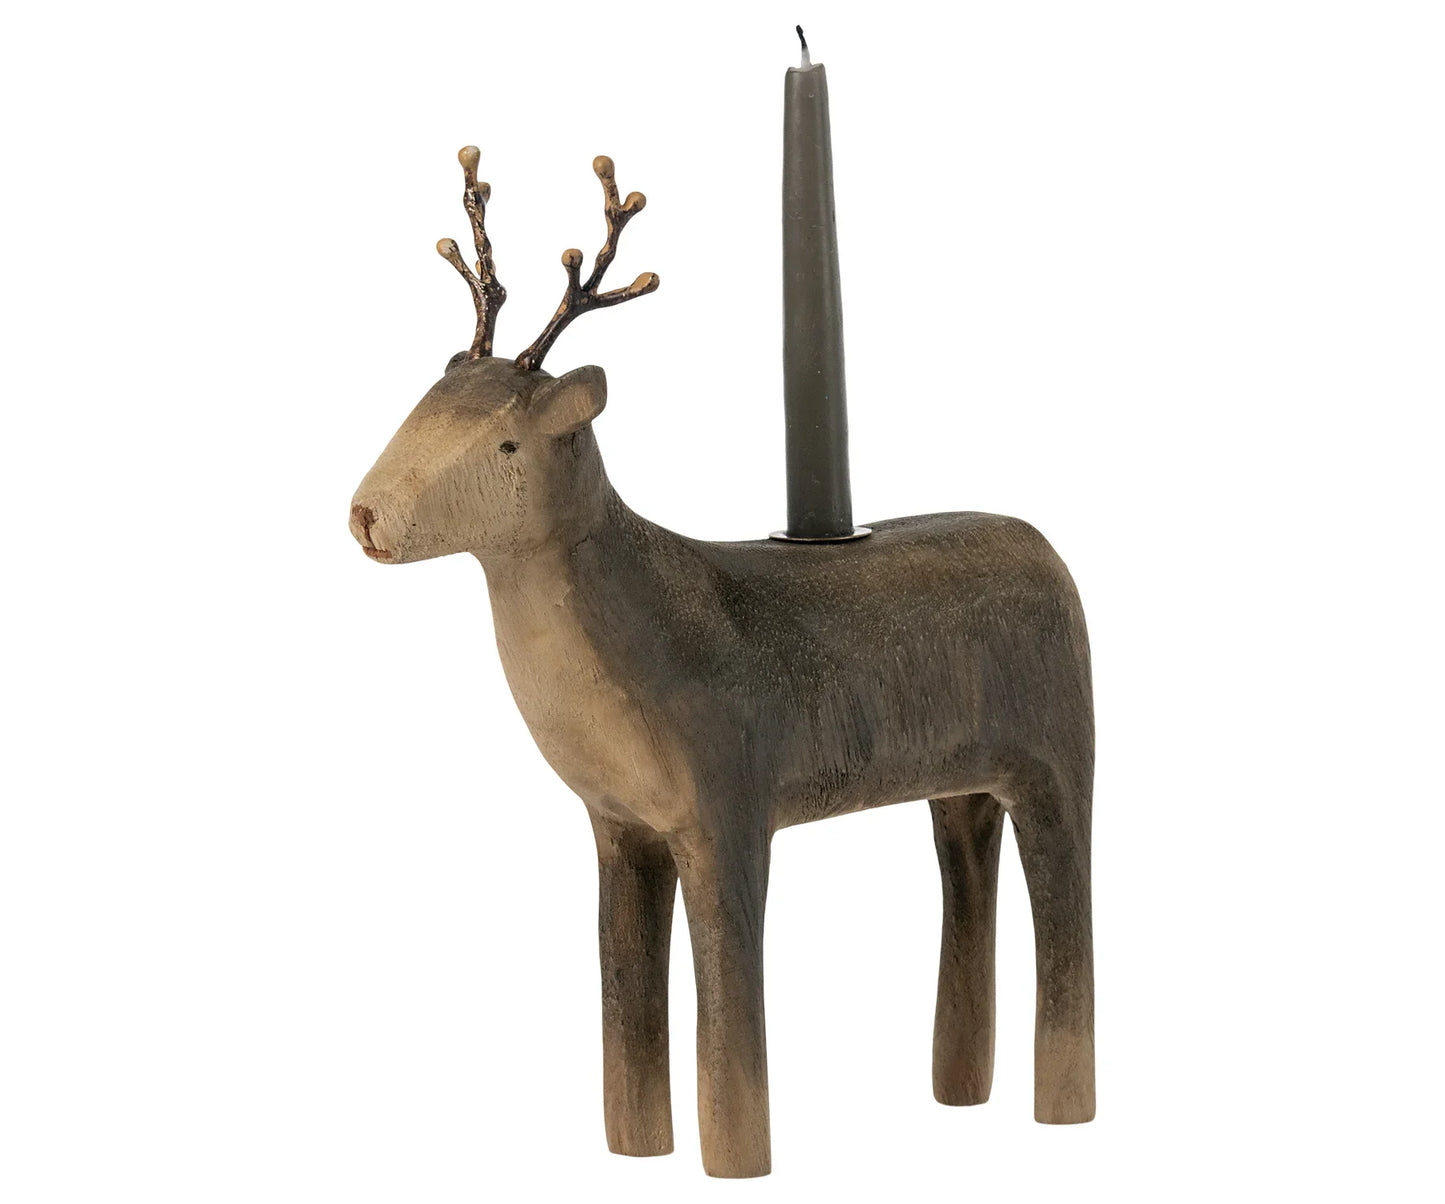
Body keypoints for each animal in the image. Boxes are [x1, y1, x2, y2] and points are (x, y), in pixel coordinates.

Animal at [349, 147, 1096, 1178]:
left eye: (503, 441)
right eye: (415, 409)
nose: (366, 515)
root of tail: (1053, 554)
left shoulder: (729, 801)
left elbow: (730, 1004)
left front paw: (738, 1159)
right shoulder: (618, 824)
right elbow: (624, 996)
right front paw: (636, 1150)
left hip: (1059, 754)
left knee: (1069, 912)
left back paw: (1061, 1113)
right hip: (958, 778)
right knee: (966, 869)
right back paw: (957, 1093)